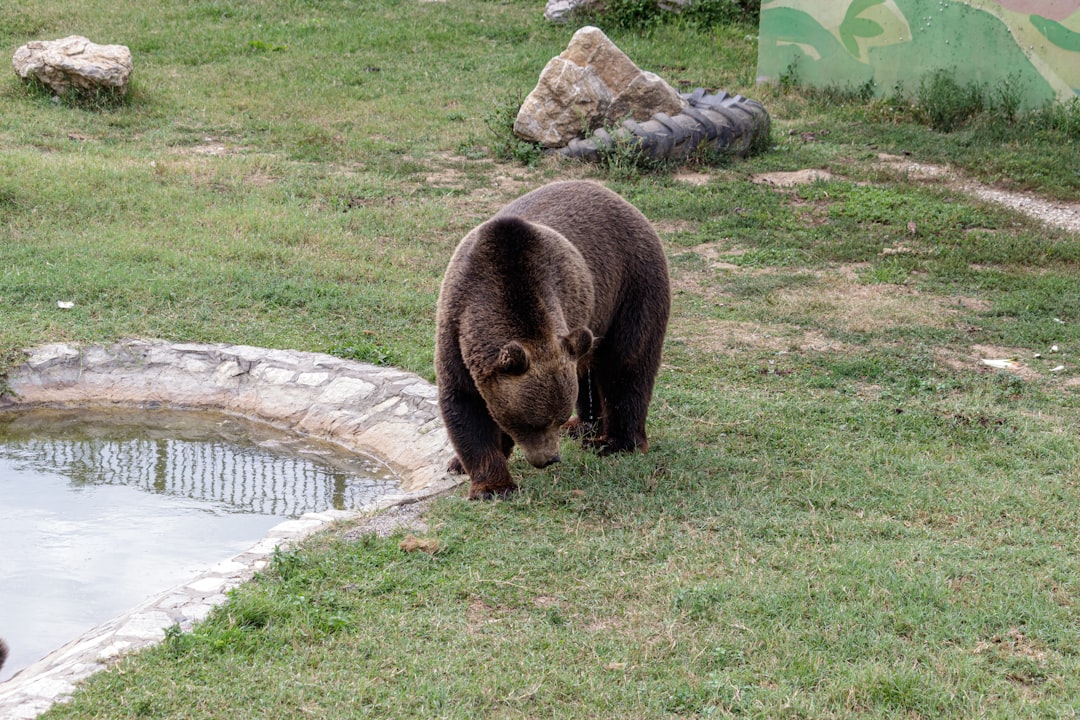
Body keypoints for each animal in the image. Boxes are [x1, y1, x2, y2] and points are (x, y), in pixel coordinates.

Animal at [435, 180, 670, 499]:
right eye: (531, 423)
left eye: (554, 418)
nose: (549, 458)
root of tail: (620, 198)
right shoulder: (455, 329)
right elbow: (464, 403)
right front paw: (477, 474)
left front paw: (493, 484)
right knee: (589, 371)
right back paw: (583, 426)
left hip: (631, 286)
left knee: (627, 364)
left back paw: (613, 442)